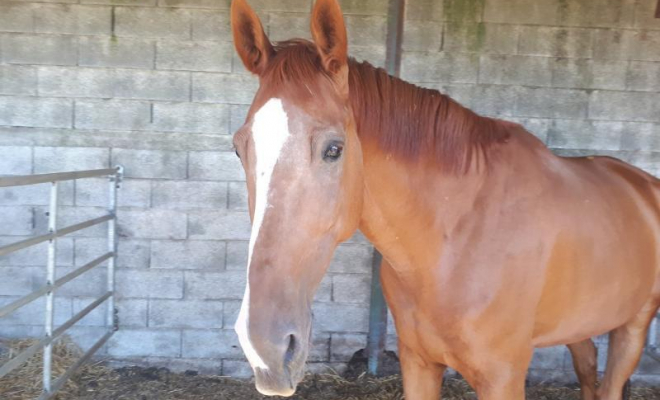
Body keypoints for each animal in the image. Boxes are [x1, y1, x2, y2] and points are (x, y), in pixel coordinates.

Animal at [228, 0, 660, 400]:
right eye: (238, 148)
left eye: (334, 149)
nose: (264, 348)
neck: (453, 240)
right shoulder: (418, 362)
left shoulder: (503, 377)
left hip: (633, 327)